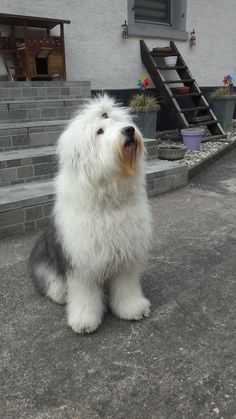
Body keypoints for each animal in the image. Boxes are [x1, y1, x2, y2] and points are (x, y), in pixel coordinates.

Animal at [29, 95, 151, 334]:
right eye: (100, 131)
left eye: (118, 123)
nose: (129, 130)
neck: (108, 194)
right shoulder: (81, 259)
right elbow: (84, 294)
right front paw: (85, 321)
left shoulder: (126, 252)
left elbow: (126, 286)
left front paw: (132, 308)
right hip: (45, 256)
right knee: (51, 280)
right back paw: (60, 294)